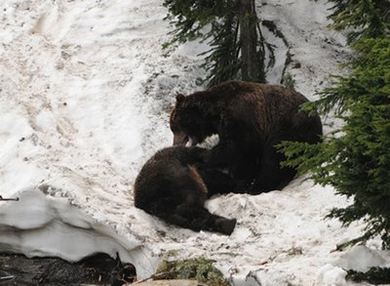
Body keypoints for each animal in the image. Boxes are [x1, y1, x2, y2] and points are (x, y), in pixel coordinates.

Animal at [169, 79, 322, 193]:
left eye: (174, 127)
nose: (175, 143)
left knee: (274, 158)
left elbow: (236, 149)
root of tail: (316, 117)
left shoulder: (243, 120)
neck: (215, 114)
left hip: (288, 130)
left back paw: (259, 186)